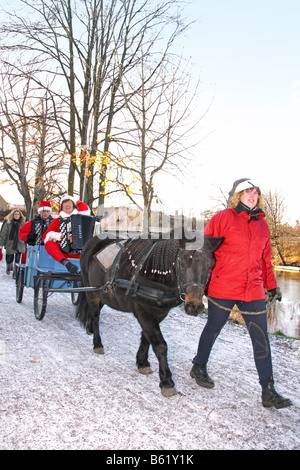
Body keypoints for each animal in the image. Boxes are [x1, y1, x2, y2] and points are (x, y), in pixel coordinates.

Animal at [76, 235, 221, 396]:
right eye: (182, 264)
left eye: (210, 265)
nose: (195, 306)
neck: (152, 275)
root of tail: (93, 240)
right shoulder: (143, 312)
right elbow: (160, 345)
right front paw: (166, 381)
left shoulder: (158, 313)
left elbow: (146, 338)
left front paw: (142, 362)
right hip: (91, 291)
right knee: (95, 316)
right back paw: (97, 343)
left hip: (102, 292)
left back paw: (89, 327)